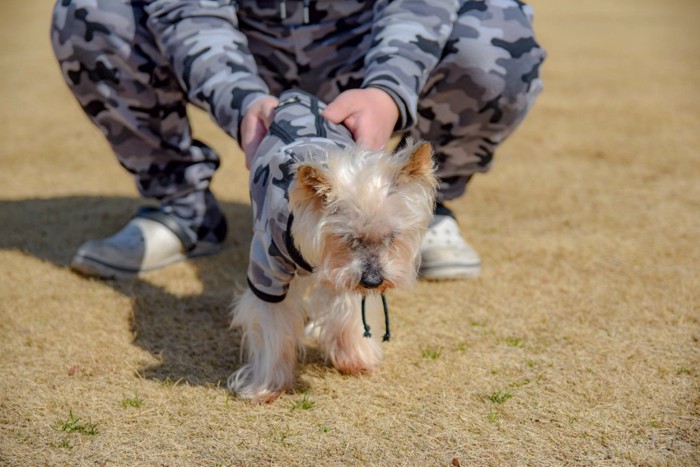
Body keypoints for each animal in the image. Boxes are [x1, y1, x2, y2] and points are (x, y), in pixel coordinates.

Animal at [227, 91, 434, 402]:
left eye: (391, 237)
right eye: (347, 238)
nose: (373, 281)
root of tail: (297, 96)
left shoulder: (345, 275)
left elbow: (348, 312)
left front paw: (355, 358)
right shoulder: (268, 273)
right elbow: (273, 331)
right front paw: (266, 387)